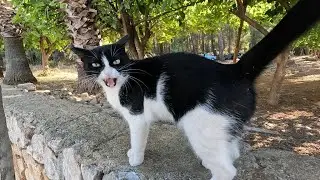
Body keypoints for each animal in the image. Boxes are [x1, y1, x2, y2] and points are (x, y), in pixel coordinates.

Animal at [71, 0, 318, 179]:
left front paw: (136, 159)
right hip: (224, 124)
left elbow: (137, 138)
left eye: (116, 62)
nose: (108, 74)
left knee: (228, 170)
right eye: (96, 65)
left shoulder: (138, 117)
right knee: (231, 151)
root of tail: (232, 69)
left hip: (200, 125)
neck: (124, 79)